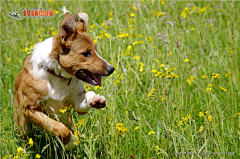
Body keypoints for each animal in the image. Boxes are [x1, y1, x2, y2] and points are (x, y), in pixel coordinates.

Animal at [13, 6, 114, 150]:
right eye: (86, 53)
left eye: (95, 50)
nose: (111, 69)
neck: (57, 77)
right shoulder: (30, 109)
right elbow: (58, 128)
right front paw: (70, 141)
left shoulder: (76, 102)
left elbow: (84, 100)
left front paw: (96, 99)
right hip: (23, 125)